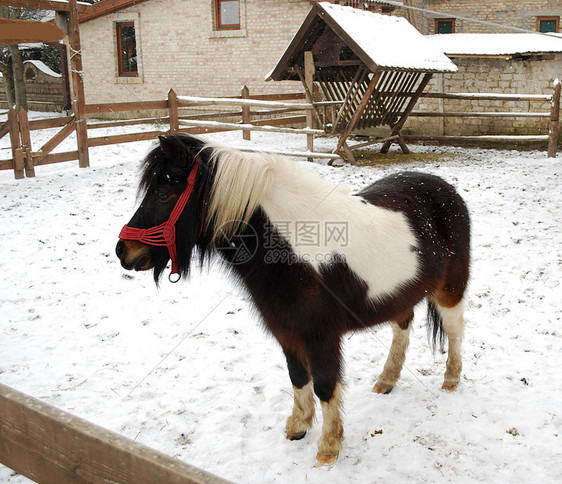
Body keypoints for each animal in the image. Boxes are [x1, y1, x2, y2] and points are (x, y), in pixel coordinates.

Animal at [117, 134, 468, 466]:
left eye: (163, 194)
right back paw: (387, 380)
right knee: (402, 327)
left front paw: (328, 447)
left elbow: (325, 385)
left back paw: (451, 379)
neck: (290, 252)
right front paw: (298, 426)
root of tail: (445, 188)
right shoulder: (286, 330)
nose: (123, 251)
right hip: (400, 295)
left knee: (454, 331)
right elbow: (298, 378)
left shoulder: (321, 337)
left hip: (450, 290)